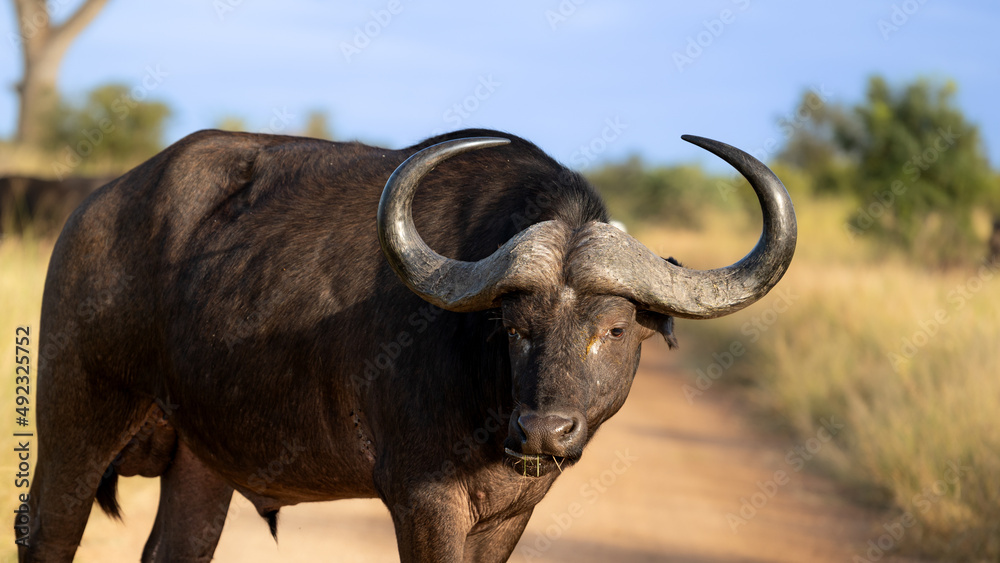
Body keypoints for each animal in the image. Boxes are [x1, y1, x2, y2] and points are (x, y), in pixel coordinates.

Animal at [18, 128, 796, 562]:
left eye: (612, 329)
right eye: (515, 327)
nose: (543, 431)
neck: (489, 393)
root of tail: (95, 210)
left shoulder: (513, 513)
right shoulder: (423, 499)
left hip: (203, 459)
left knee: (175, 549)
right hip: (75, 421)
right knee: (44, 530)